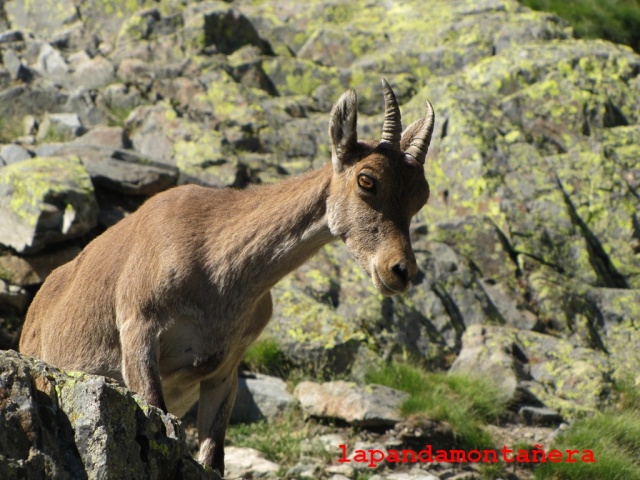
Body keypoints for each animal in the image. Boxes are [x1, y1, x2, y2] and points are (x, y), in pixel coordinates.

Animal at [22, 79, 438, 476]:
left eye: (421, 196)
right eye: (367, 180)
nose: (400, 271)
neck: (217, 269)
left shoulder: (224, 370)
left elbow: (214, 456)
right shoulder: (139, 329)